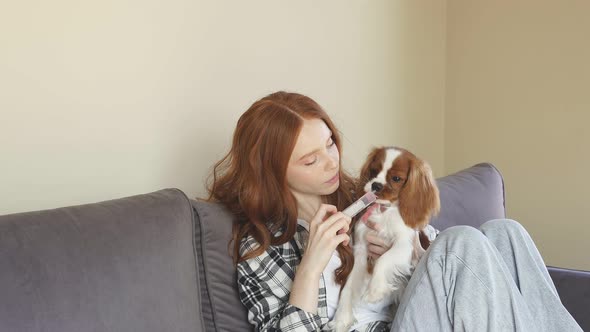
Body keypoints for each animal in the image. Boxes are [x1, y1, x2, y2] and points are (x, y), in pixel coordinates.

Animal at [330, 147, 442, 330]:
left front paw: (375, 290)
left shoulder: (404, 245)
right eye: (374, 171)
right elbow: (348, 285)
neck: (383, 211)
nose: (375, 185)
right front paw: (342, 318)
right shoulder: (360, 250)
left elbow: (384, 259)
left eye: (396, 178)